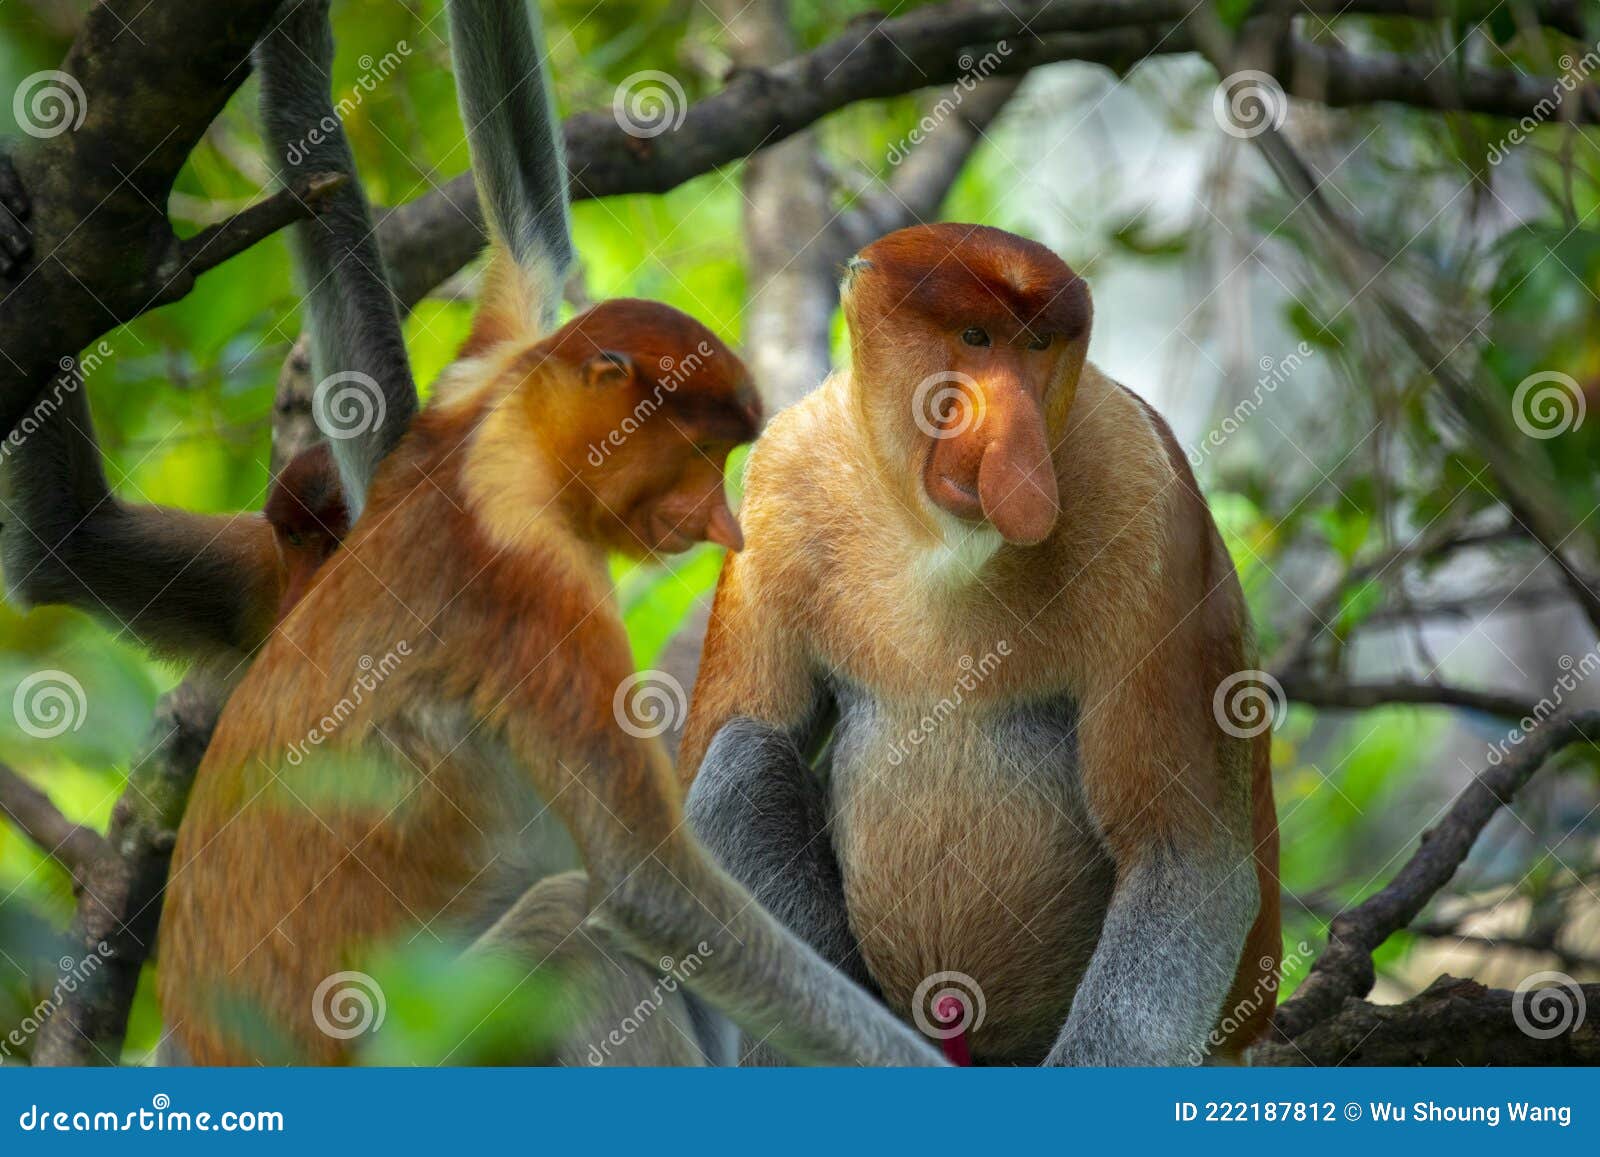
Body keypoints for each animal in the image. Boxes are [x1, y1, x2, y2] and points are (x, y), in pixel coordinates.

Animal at [152, 0, 934, 1068]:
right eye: (702, 450)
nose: (719, 517)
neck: (509, 448)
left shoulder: (485, 376)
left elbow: (524, 226)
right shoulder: (535, 584)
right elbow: (648, 891)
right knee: (569, 929)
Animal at [681, 224, 1280, 1068]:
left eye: (1035, 347)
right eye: (973, 337)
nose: (1015, 435)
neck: (939, 538)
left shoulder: (1147, 502)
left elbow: (1182, 854)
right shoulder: (781, 479)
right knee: (738, 756)